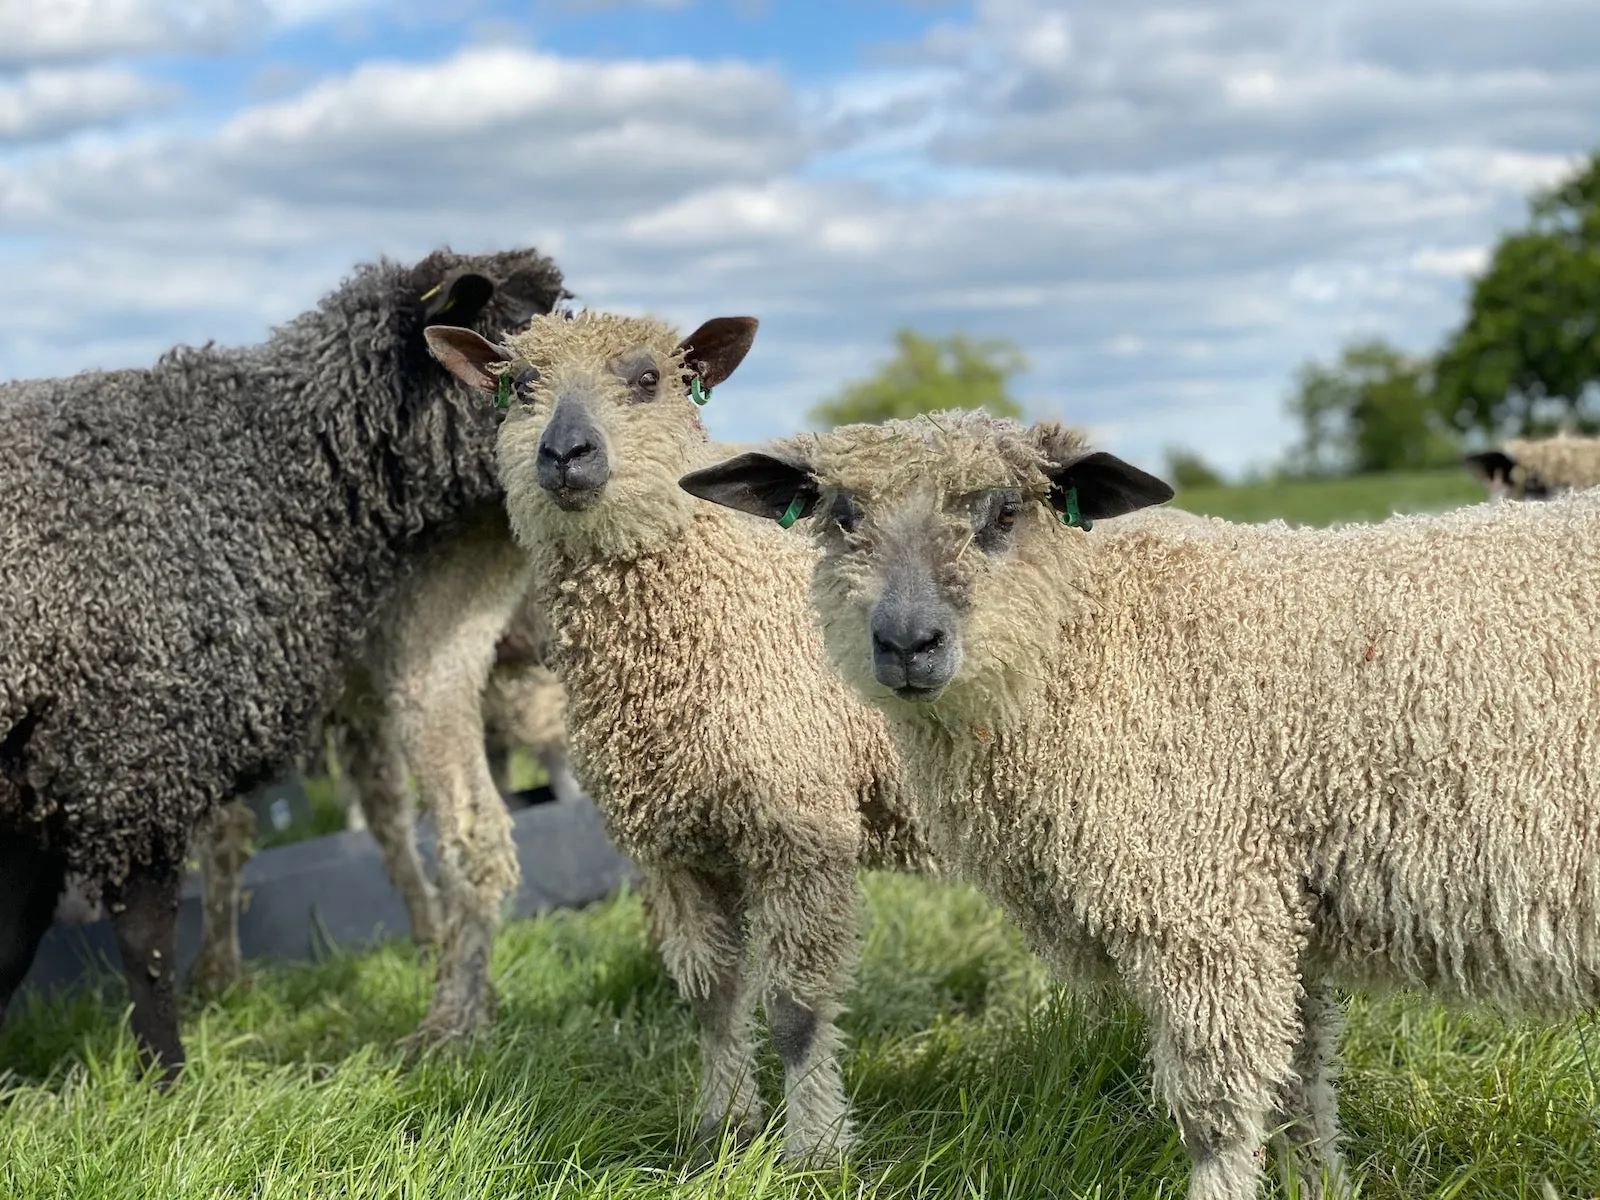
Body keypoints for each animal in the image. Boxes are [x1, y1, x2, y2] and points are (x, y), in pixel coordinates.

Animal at [425, 310, 934, 1164]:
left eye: (648, 380)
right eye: (519, 386)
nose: (565, 453)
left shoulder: (800, 830)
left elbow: (796, 1009)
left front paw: (815, 1149)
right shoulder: (674, 846)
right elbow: (714, 998)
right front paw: (723, 1131)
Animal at [684, 412, 1600, 1200]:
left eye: (1006, 510)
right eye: (841, 514)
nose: (907, 643)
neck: (1094, 638)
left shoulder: (1205, 906)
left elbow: (1219, 1116)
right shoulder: (1282, 908)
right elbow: (1303, 1088)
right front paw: (1321, 1185)